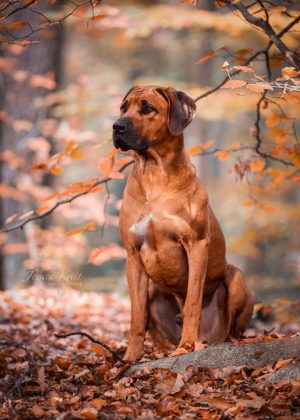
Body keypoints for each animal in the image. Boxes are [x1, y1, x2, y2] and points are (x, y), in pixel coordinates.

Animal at [112, 85, 253, 360]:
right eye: (123, 107)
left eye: (147, 108)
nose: (116, 126)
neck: (154, 172)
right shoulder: (133, 254)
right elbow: (137, 315)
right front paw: (130, 357)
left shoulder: (196, 243)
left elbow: (192, 303)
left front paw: (185, 347)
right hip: (154, 291)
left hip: (236, 277)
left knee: (232, 328)